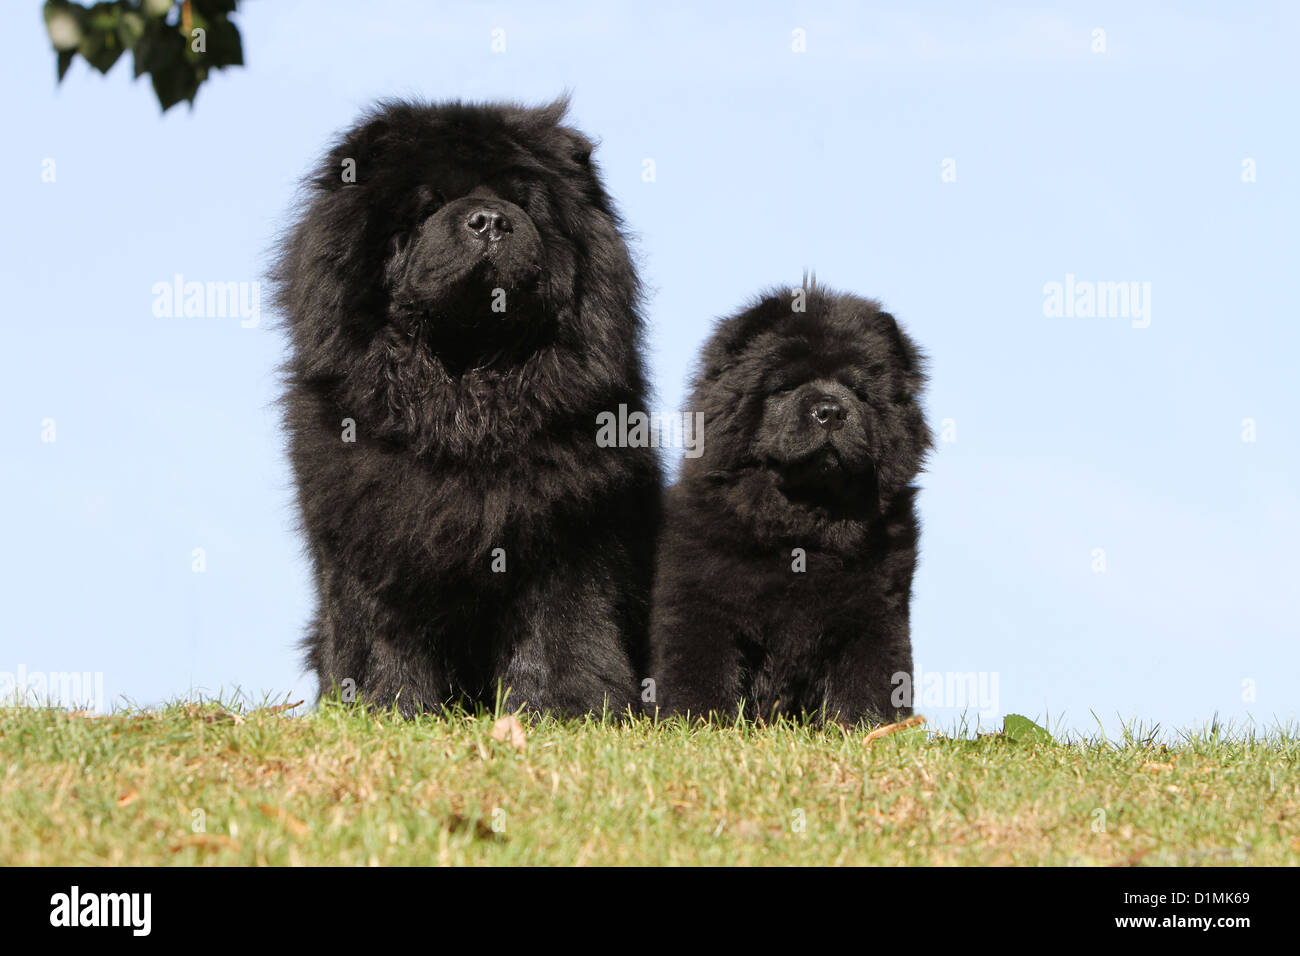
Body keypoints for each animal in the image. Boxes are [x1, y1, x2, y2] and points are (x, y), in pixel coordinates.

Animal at [274, 100, 660, 723]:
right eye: (429, 206)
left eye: (524, 204)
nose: (490, 221)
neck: (464, 390)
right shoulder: (372, 530)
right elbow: (378, 635)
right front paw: (389, 708)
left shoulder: (570, 532)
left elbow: (563, 631)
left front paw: (562, 712)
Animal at [647, 283, 930, 723]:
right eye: (786, 386)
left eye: (859, 392)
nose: (830, 411)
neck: (803, 522)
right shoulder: (700, 601)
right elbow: (698, 670)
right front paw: (694, 720)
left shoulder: (877, 612)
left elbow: (870, 680)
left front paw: (868, 727)